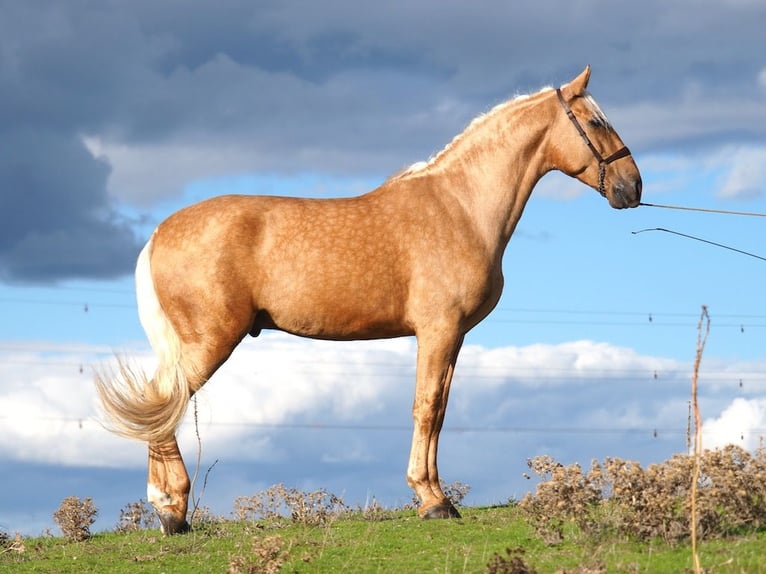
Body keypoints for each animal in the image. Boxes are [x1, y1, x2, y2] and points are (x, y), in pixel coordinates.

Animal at [99, 66, 644, 536]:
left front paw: (434, 496)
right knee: (162, 402)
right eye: (597, 121)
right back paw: (172, 510)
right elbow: (426, 407)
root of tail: (159, 234)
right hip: (210, 340)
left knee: (158, 404)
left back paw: (170, 510)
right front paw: (433, 501)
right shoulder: (438, 329)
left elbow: (439, 410)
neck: (460, 207)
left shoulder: (452, 337)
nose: (633, 187)